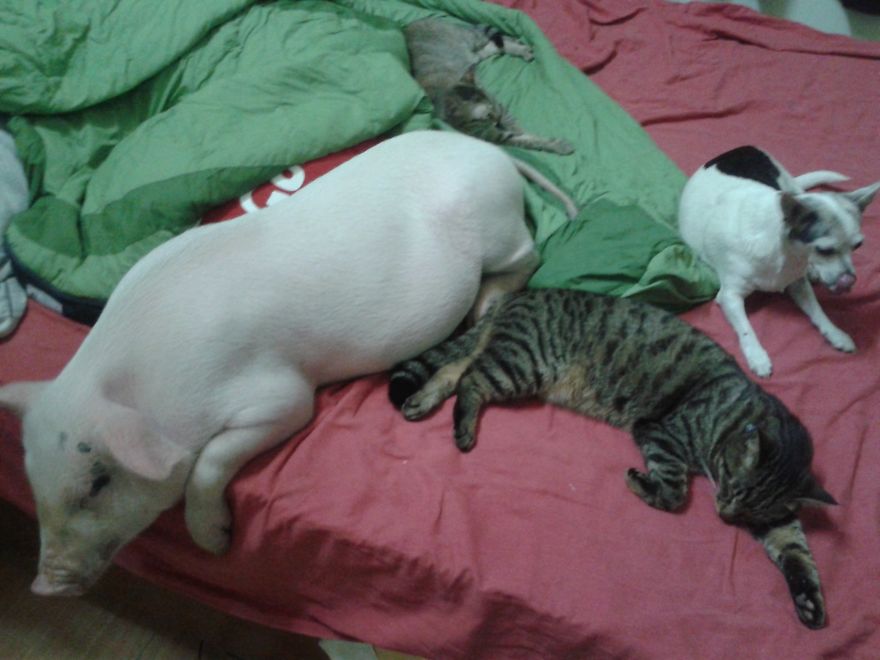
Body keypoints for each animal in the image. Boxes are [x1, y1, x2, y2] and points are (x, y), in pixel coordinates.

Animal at [0, 130, 541, 596]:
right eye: (32, 480)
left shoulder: (279, 394)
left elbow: (216, 456)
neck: (151, 379)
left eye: (97, 483)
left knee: (529, 257)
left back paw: (485, 305)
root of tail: (492, 154)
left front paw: (217, 544)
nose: (42, 585)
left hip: (499, 234)